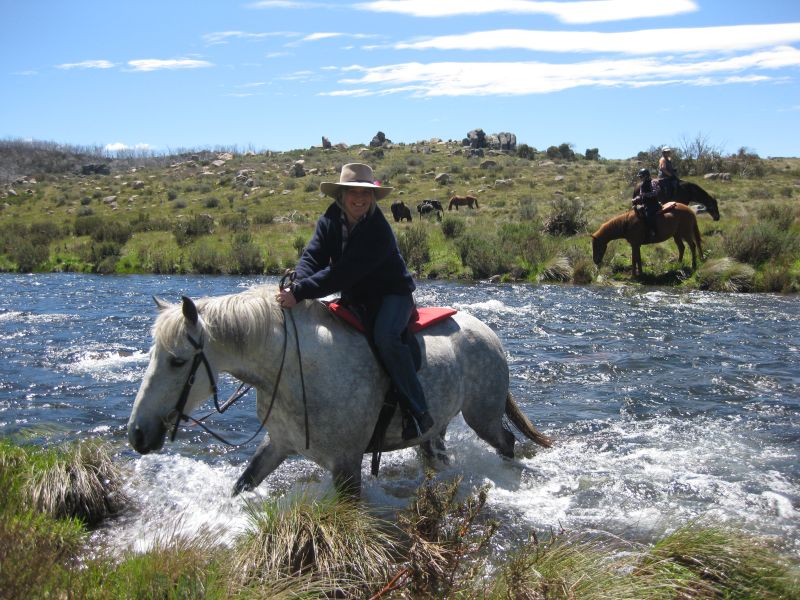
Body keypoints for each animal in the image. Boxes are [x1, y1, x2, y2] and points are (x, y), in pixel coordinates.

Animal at [128, 288, 552, 494]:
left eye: (177, 361)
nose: (137, 434)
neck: (294, 369)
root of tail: (488, 333)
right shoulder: (278, 444)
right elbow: (243, 484)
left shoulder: (346, 464)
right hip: (436, 426)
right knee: (437, 456)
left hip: (483, 415)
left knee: (507, 443)